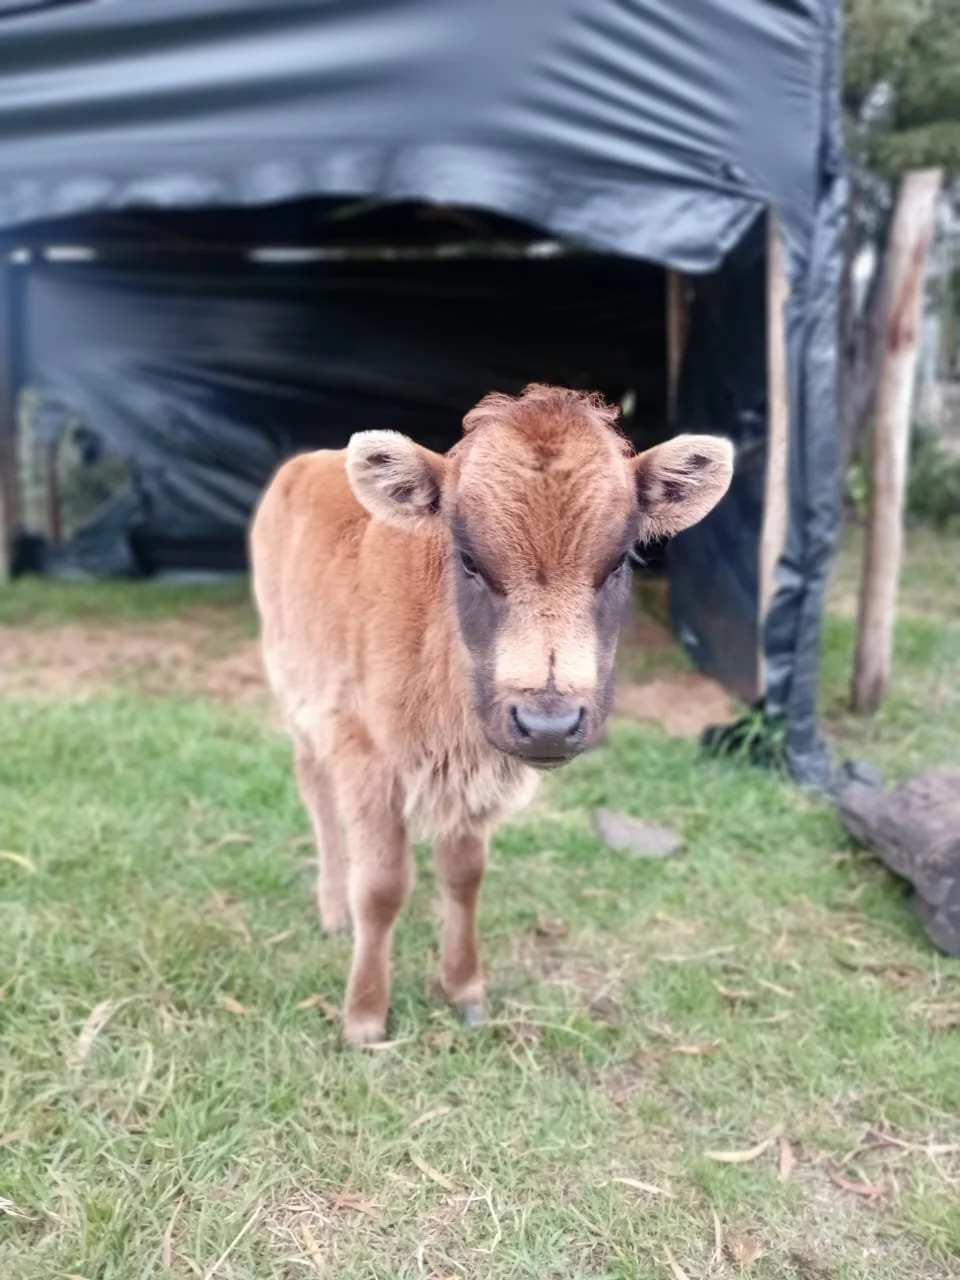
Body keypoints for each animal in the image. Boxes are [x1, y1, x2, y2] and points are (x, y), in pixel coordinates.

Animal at [250, 384, 733, 1044]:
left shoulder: (471, 783)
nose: (548, 723)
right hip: (295, 689)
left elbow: (464, 875)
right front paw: (365, 1017)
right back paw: (331, 907)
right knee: (315, 794)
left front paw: (465, 989)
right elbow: (380, 888)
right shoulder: (365, 755)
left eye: (619, 562)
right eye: (470, 560)